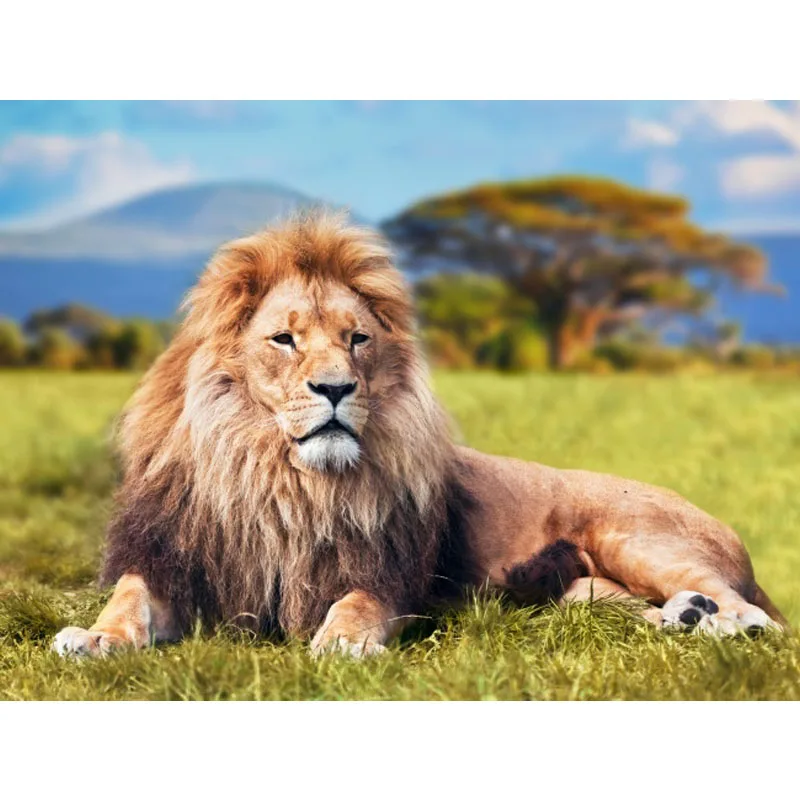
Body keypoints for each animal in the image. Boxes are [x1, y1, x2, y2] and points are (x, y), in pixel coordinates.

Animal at [53, 213, 786, 659]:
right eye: (284, 339)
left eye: (357, 339)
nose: (336, 389)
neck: (279, 480)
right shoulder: (172, 561)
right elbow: (127, 601)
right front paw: (92, 639)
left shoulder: (385, 575)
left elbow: (355, 605)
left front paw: (342, 644)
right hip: (580, 592)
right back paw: (685, 618)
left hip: (635, 537)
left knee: (757, 613)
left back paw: (726, 623)